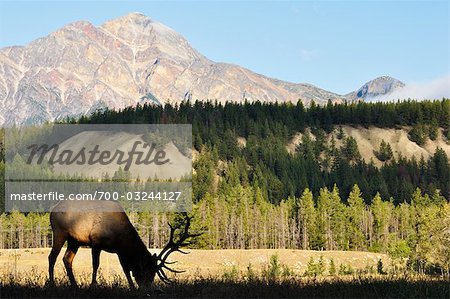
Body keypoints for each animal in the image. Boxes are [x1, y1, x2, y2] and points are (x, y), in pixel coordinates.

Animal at [47, 200, 199, 290]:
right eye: (148, 271)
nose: (147, 288)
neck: (120, 237)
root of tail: (51, 211)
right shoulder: (96, 242)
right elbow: (95, 264)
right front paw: (93, 285)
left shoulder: (119, 251)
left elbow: (125, 269)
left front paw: (131, 287)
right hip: (60, 232)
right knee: (52, 257)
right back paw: (52, 284)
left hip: (74, 240)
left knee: (67, 259)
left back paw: (74, 285)